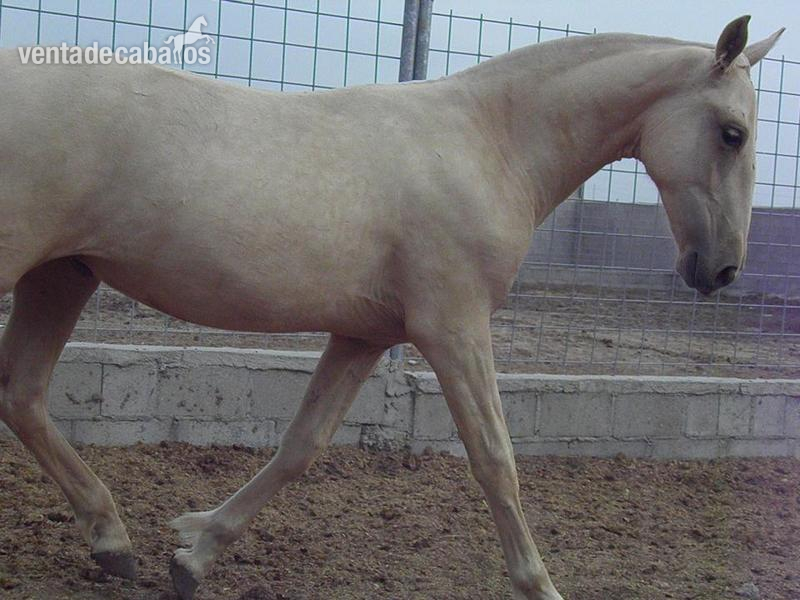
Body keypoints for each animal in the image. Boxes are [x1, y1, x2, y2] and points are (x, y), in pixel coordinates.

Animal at [0, 15, 784, 600]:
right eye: (733, 132)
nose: (720, 269)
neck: (489, 141)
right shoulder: (454, 327)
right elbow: (496, 460)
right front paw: (539, 585)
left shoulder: (365, 334)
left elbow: (301, 447)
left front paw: (194, 554)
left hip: (61, 276)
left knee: (23, 396)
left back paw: (113, 543)